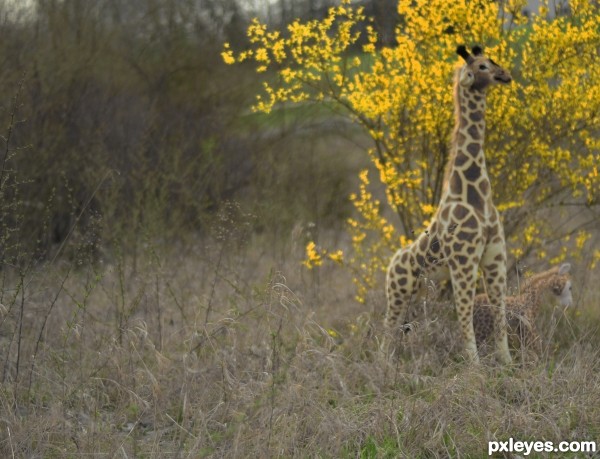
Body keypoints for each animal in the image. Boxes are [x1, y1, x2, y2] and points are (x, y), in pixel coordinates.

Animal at [386, 45, 512, 364]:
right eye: (481, 67)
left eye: (492, 60)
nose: (505, 75)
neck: (476, 195)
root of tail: (390, 263)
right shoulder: (463, 262)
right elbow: (465, 317)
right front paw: (474, 367)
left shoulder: (494, 256)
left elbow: (499, 312)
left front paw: (508, 363)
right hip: (397, 290)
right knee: (386, 329)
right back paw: (383, 363)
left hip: (419, 292)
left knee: (403, 328)